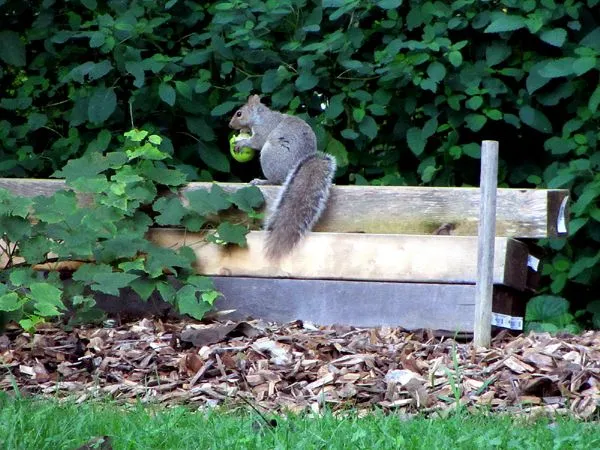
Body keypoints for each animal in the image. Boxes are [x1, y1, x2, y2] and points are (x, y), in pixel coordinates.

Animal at [229, 96, 336, 260]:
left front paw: (242, 142)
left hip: (269, 154)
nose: (230, 125)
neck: (261, 116)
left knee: (275, 181)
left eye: (239, 113)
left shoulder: (264, 129)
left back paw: (262, 181)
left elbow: (256, 141)